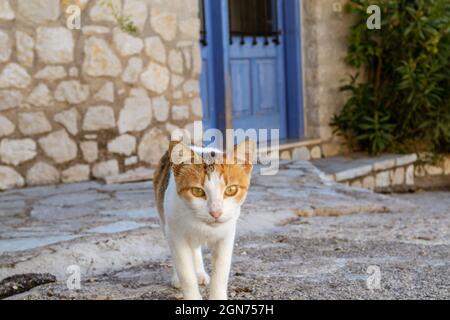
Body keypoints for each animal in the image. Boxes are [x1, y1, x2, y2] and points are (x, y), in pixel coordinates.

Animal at [154, 139, 253, 300]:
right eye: (197, 191)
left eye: (231, 190)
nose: (216, 212)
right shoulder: (176, 233)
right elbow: (186, 273)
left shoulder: (226, 235)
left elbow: (221, 272)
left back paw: (199, 272)